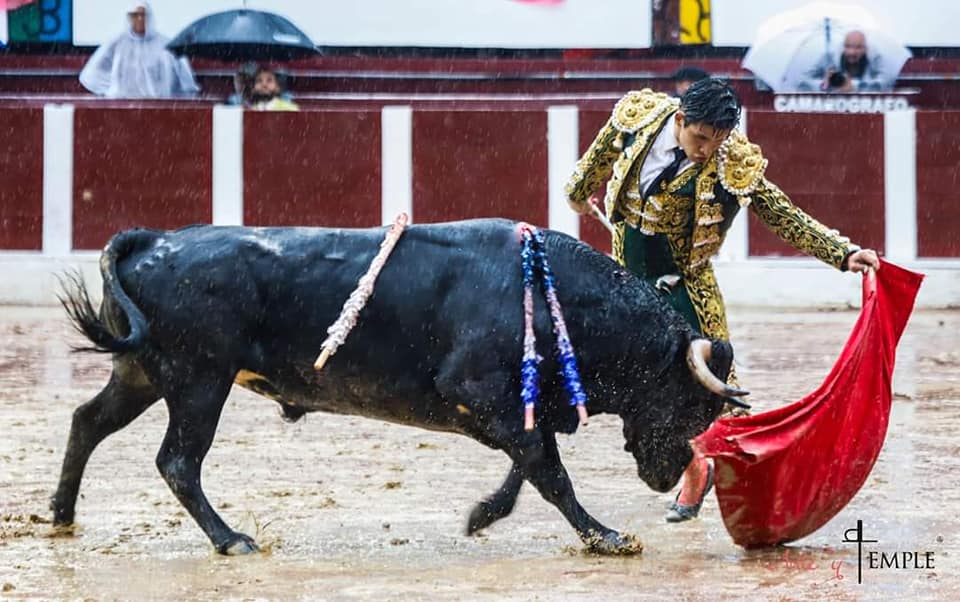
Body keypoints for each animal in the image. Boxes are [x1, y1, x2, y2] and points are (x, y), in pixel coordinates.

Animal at [50, 216, 744, 552]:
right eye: (690, 402)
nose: (671, 474)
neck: (553, 296)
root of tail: (155, 241)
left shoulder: (511, 408)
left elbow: (529, 466)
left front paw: (482, 516)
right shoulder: (480, 394)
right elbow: (549, 471)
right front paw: (607, 537)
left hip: (143, 372)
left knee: (88, 421)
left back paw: (59, 515)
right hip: (199, 381)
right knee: (178, 462)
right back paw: (231, 541)